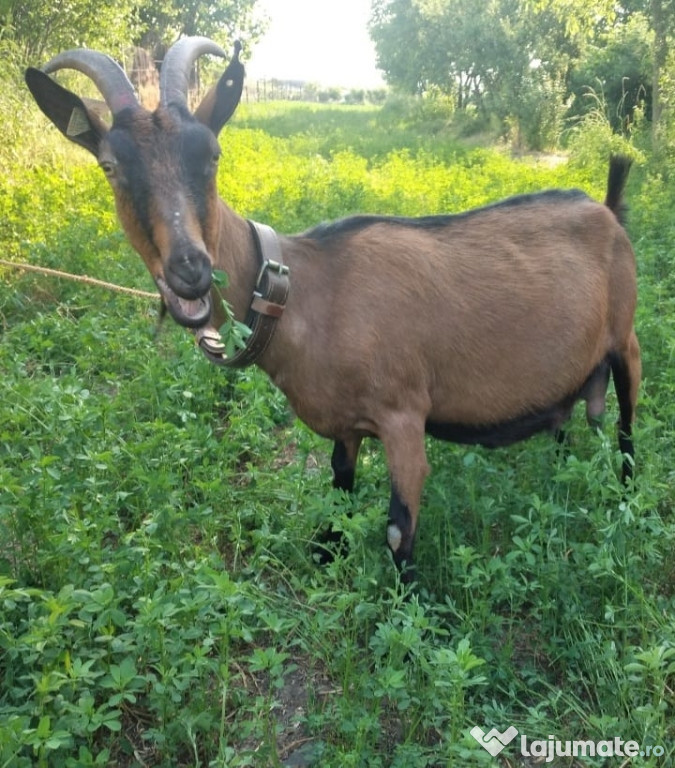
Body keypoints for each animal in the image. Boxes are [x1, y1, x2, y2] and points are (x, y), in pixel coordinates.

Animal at [23, 39, 640, 584]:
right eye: (109, 165)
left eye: (213, 155)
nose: (191, 271)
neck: (302, 291)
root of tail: (608, 210)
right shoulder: (347, 423)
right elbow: (340, 489)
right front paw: (325, 557)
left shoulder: (403, 415)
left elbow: (397, 530)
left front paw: (411, 609)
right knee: (571, 419)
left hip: (626, 336)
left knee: (628, 423)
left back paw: (627, 496)